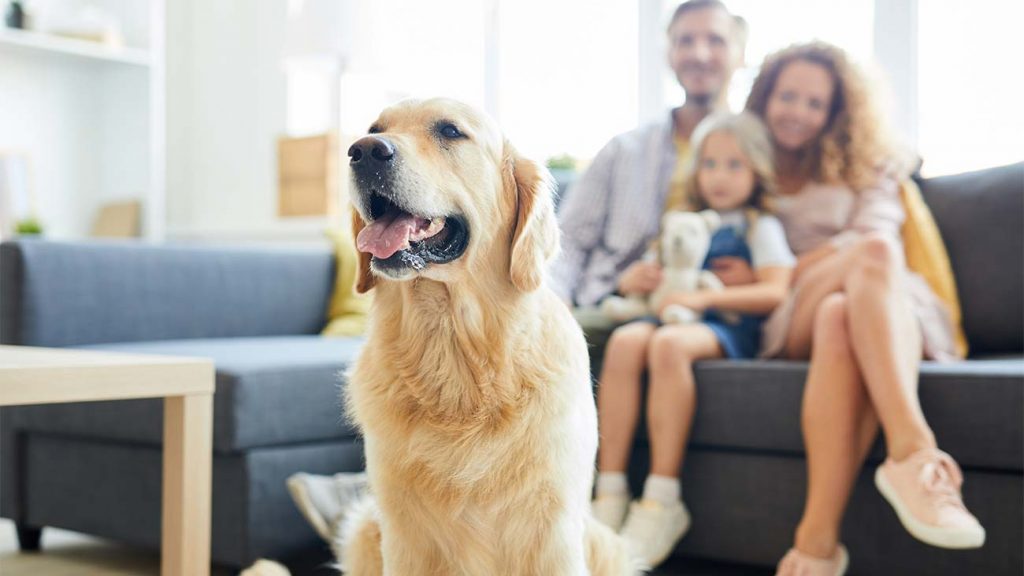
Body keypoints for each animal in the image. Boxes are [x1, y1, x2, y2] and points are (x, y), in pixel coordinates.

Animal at [244, 96, 634, 569]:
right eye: (374, 129)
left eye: (450, 131)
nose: (364, 152)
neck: (451, 345)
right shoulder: (403, 532)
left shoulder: (552, 528)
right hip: (365, 527)